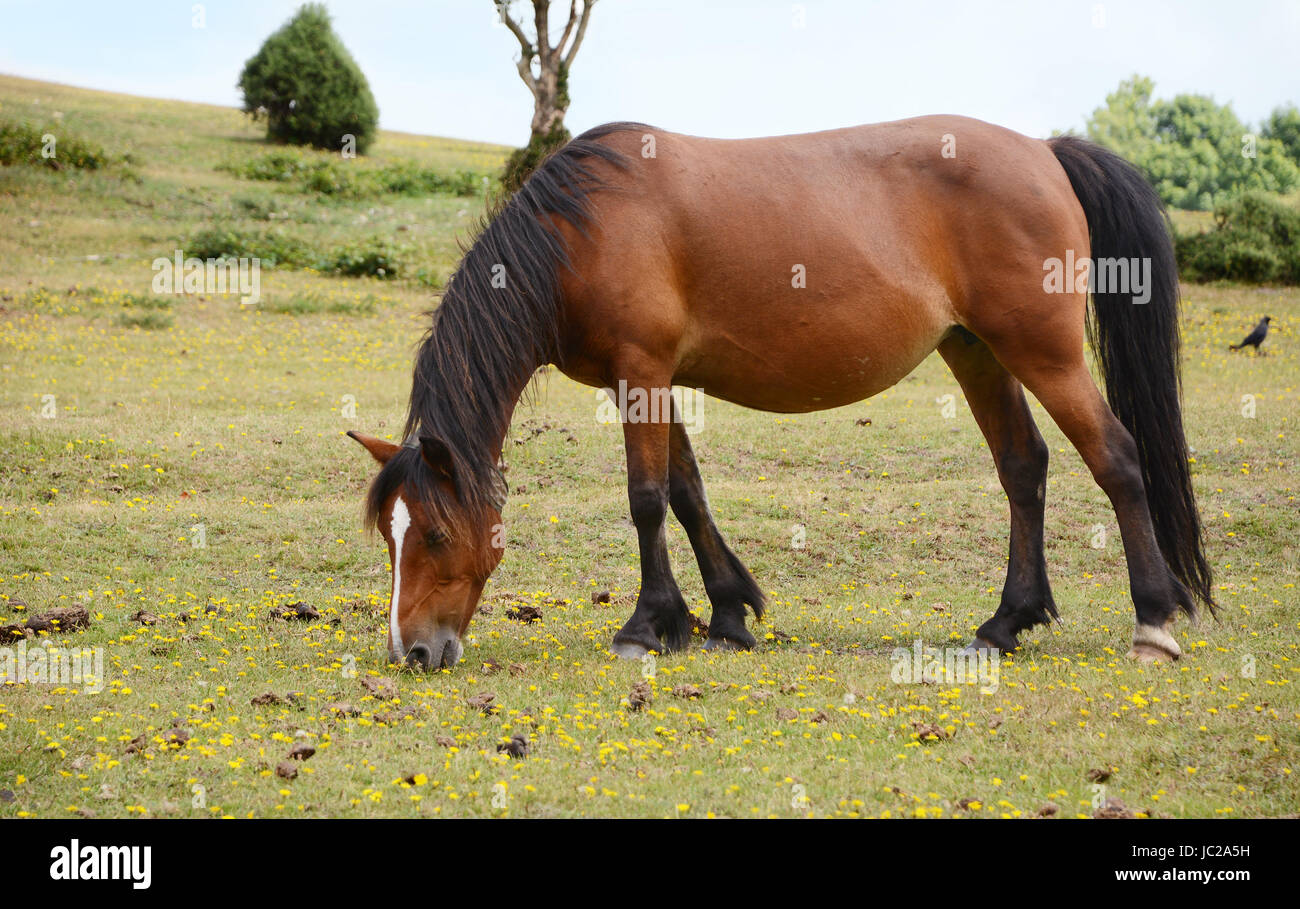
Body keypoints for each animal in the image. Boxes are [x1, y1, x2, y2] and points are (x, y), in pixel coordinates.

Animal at [348, 117, 1206, 671]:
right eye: (390, 535)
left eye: (432, 534)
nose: (413, 650)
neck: (580, 233)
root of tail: (1044, 151)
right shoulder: (658, 380)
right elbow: (687, 492)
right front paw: (723, 614)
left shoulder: (641, 371)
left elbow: (647, 498)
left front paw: (646, 625)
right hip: (978, 351)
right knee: (1024, 467)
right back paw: (1006, 621)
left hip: (1043, 350)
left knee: (1117, 458)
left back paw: (1153, 621)